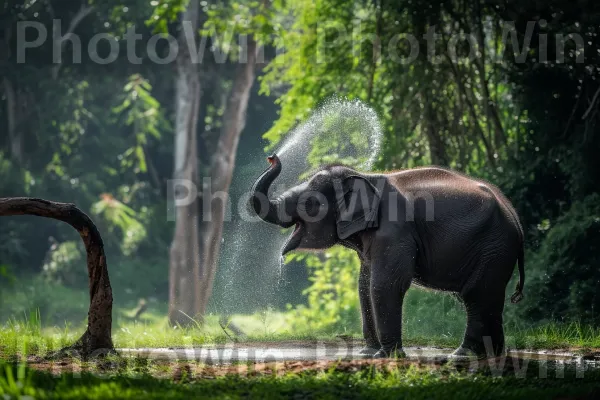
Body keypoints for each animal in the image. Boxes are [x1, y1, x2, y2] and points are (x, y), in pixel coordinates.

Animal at [251, 155, 524, 358]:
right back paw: (493, 354)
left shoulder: (394, 231)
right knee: (488, 298)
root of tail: (515, 218)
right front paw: (367, 354)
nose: (272, 157)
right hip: (497, 251)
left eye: (309, 203)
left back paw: (463, 355)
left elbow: (385, 284)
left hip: (493, 247)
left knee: (477, 295)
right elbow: (364, 285)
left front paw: (385, 356)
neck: (364, 176)